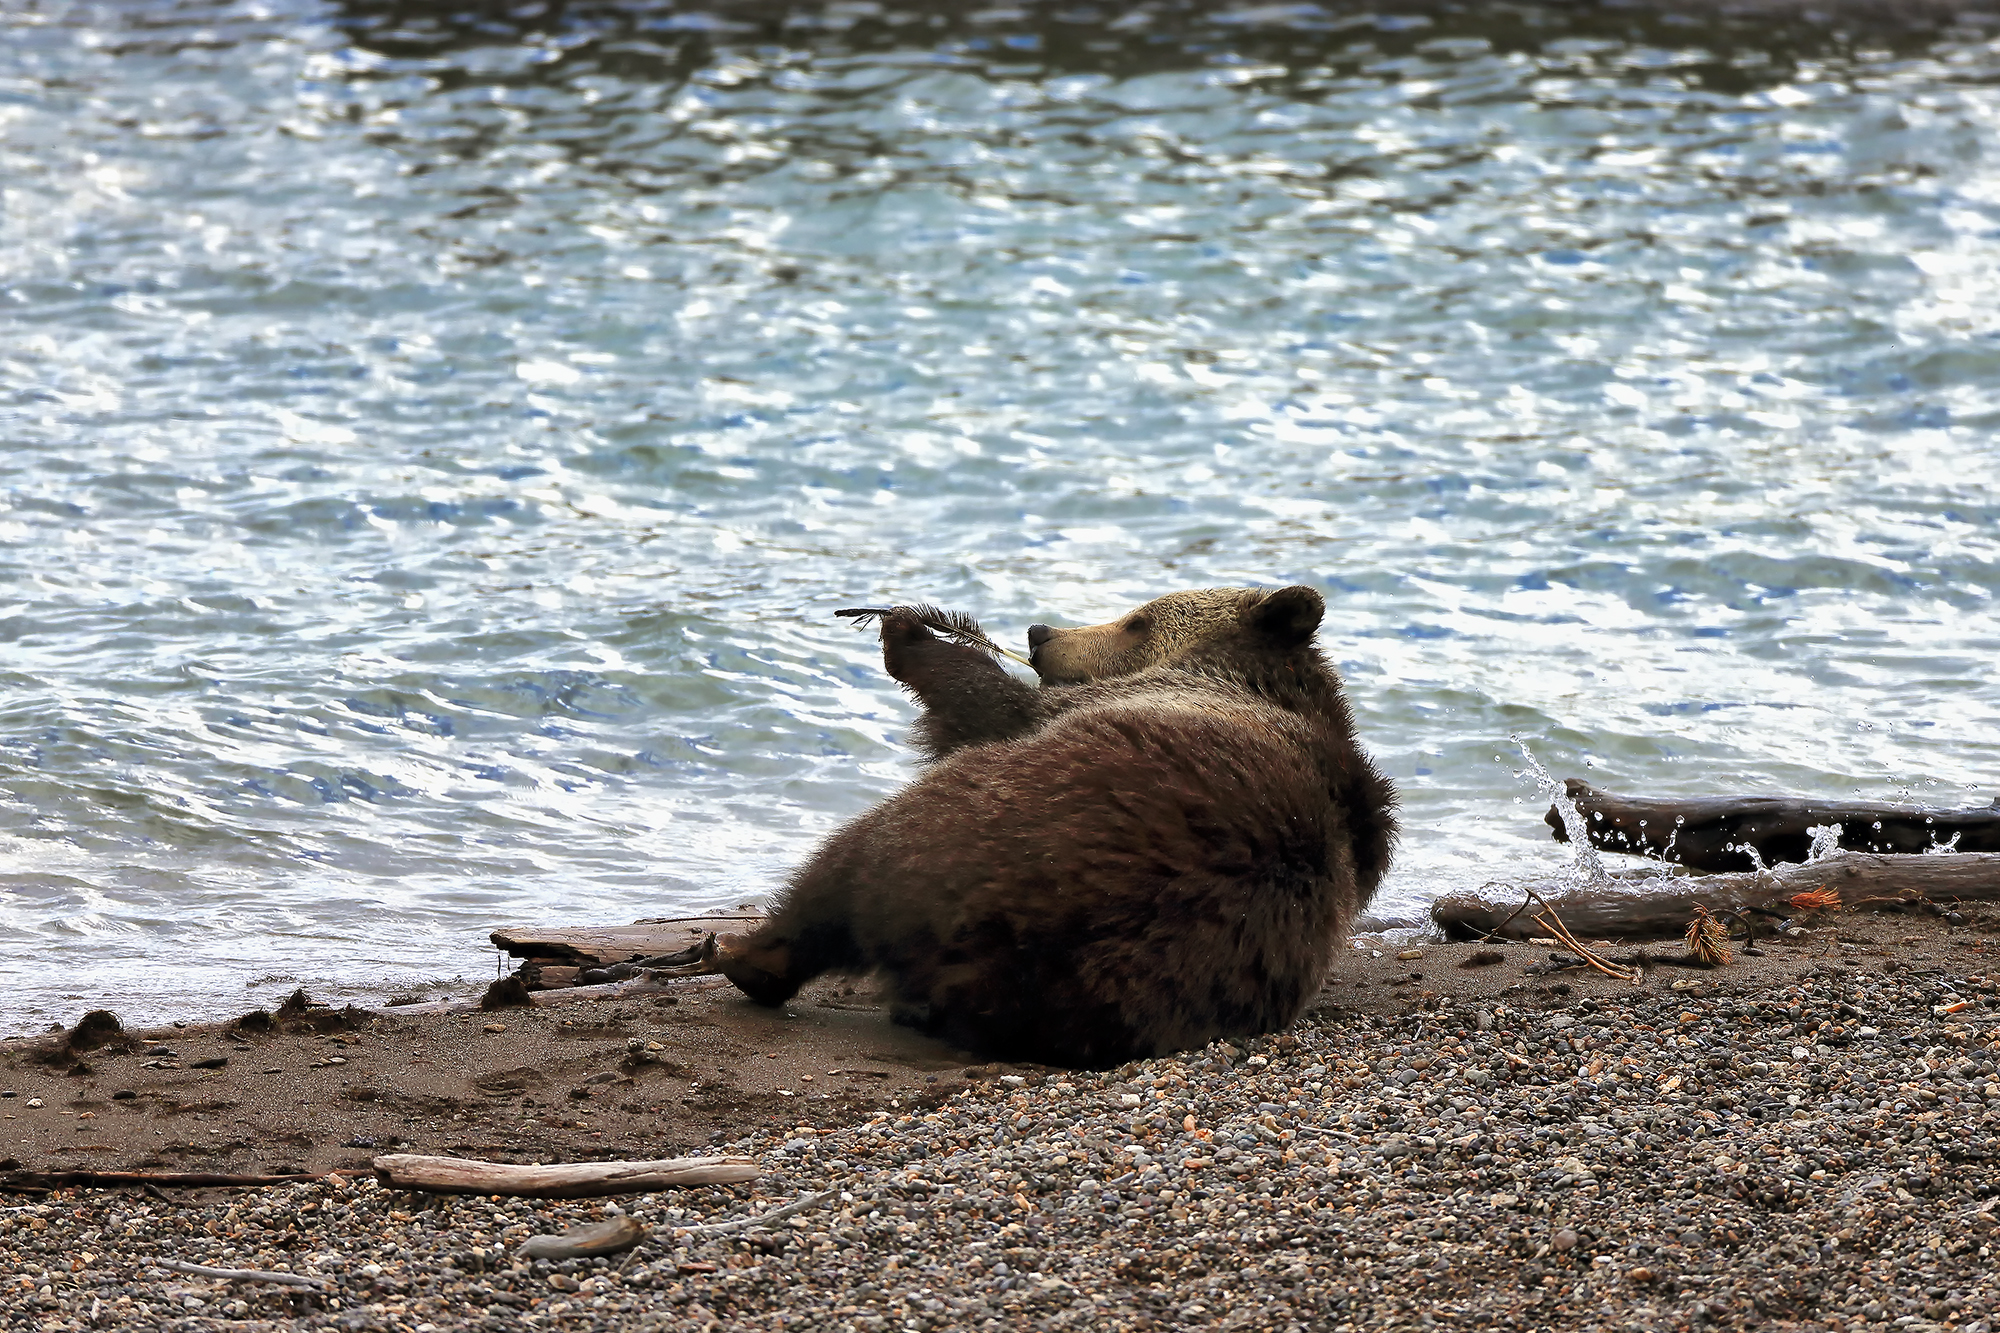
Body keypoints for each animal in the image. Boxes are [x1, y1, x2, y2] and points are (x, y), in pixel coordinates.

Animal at [701, 585, 1398, 1069]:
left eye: (1140, 618)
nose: (1040, 632)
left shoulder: (1124, 698)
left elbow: (992, 705)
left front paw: (911, 632)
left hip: (974, 825)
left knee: (847, 864)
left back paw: (747, 955)